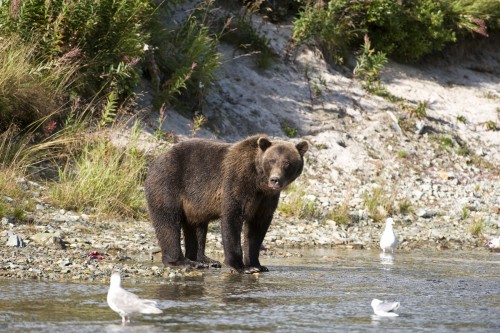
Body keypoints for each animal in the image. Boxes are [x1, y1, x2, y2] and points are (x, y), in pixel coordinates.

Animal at [145, 134, 306, 272]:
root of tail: (156, 160)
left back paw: (204, 260)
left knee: (197, 226)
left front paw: (257, 265)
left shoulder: (265, 198)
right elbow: (232, 217)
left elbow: (257, 227)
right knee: (168, 221)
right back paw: (182, 262)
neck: (258, 181)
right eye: (271, 160)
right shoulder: (237, 182)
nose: (275, 180)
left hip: (195, 203)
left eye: (287, 163)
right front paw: (241, 266)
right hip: (168, 183)